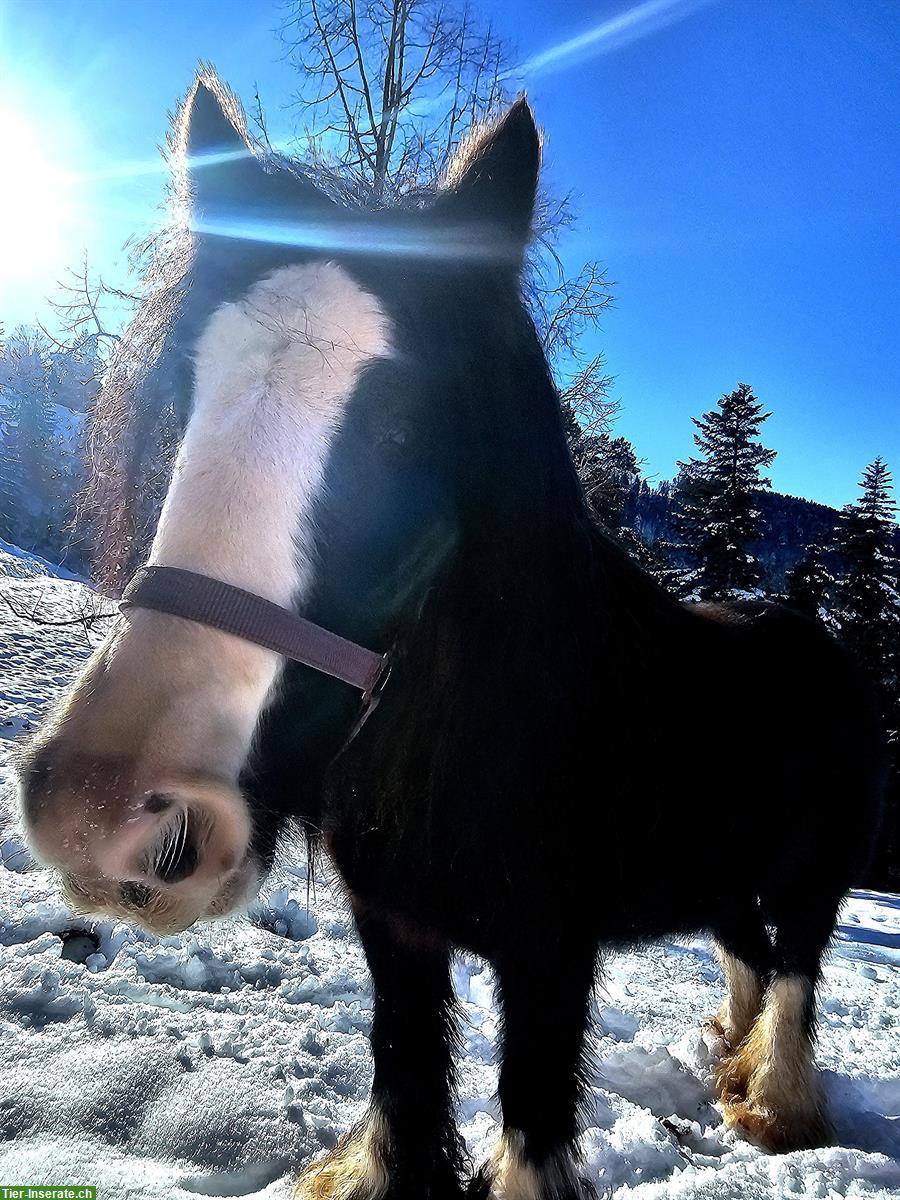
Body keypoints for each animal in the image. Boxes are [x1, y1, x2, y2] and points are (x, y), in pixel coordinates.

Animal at [17, 72, 885, 1200]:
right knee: (744, 948)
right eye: (181, 402)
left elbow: (533, 1109)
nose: (101, 808)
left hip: (815, 875)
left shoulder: (553, 954)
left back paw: (773, 1103)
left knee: (794, 970)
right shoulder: (396, 931)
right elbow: (406, 1075)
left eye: (403, 429)